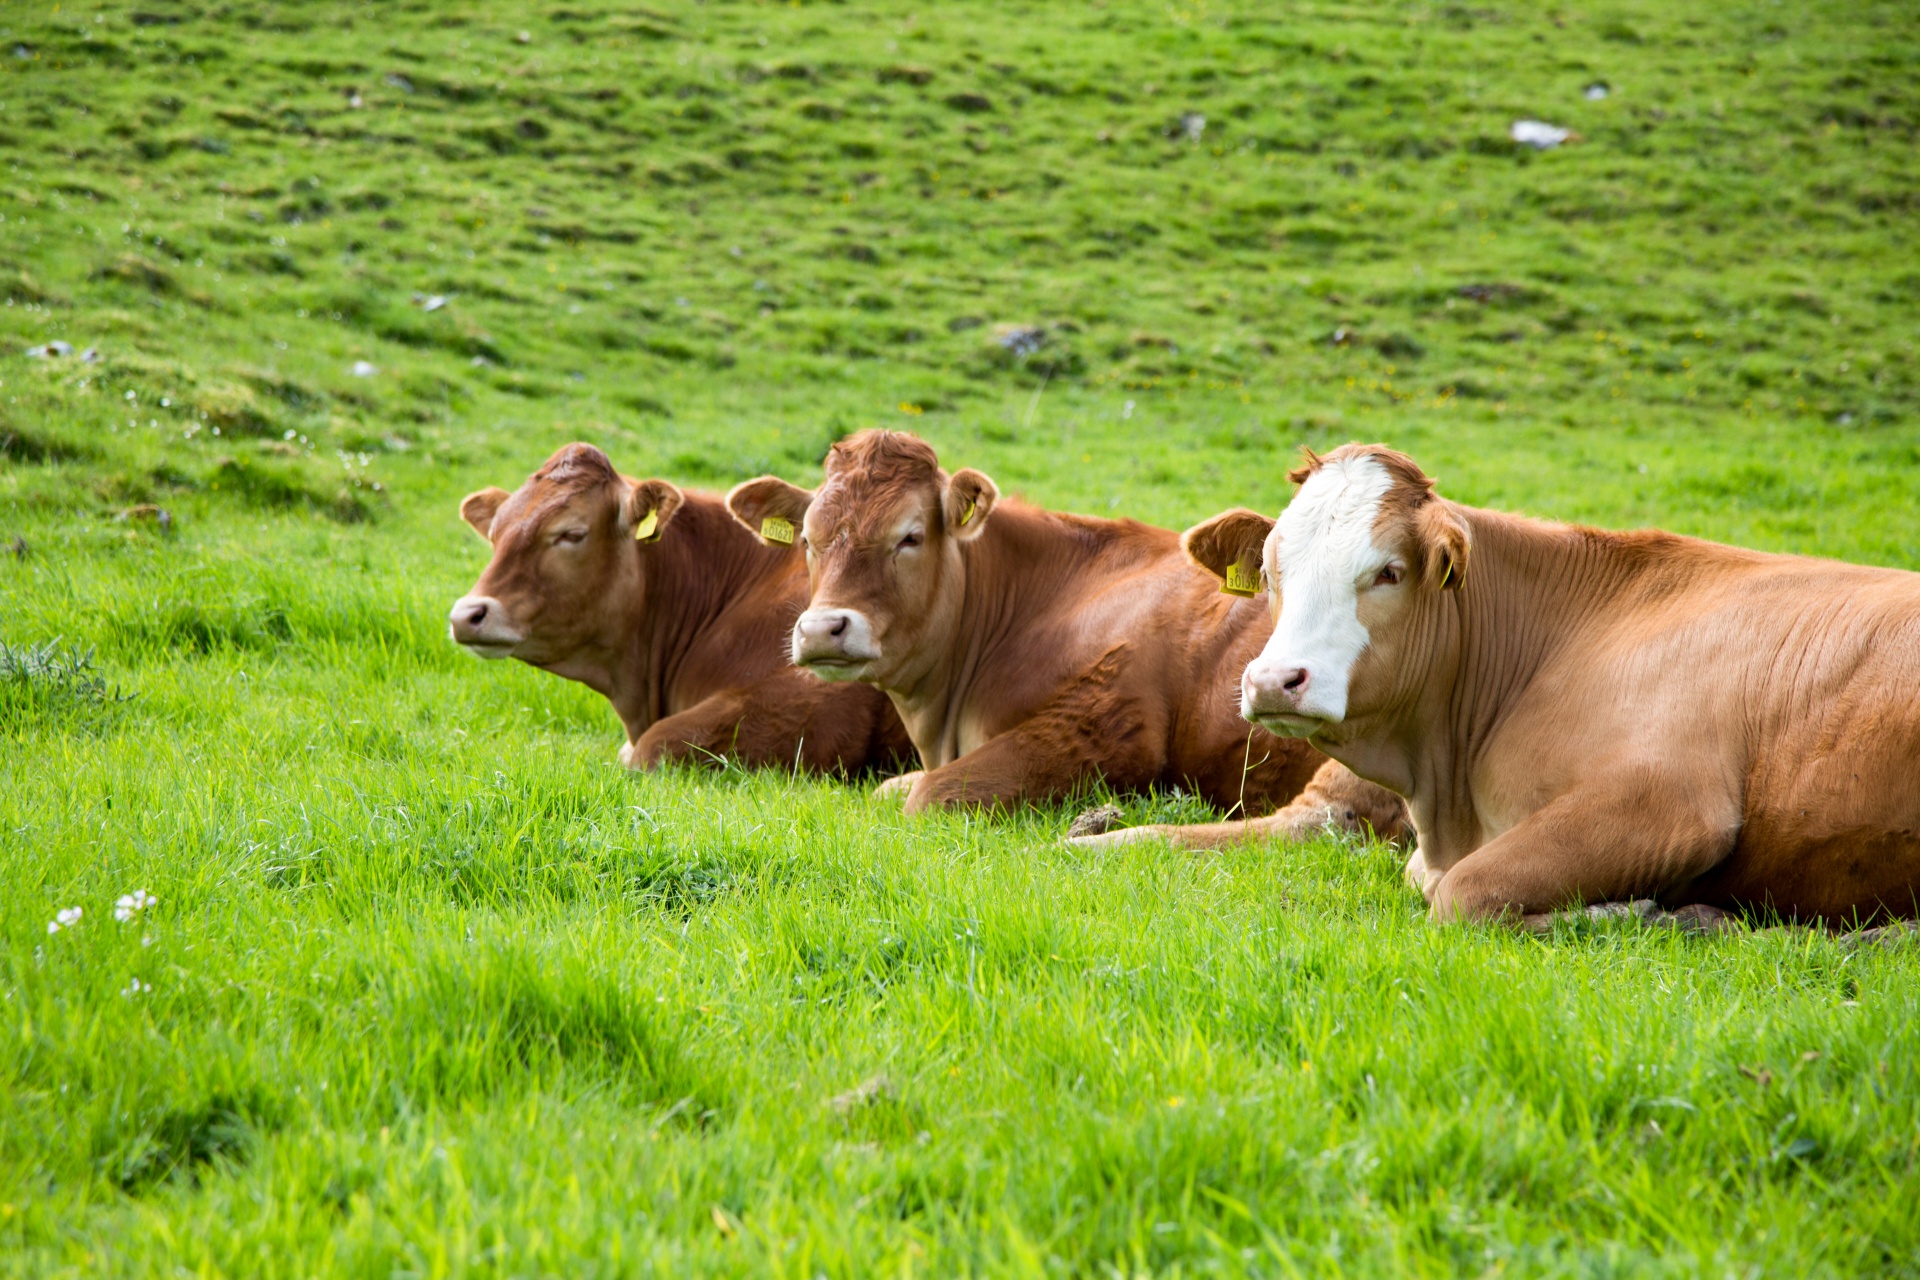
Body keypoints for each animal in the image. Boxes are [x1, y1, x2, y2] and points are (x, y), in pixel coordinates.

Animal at [721, 429, 1413, 832]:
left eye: (909, 536)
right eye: (808, 540)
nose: (822, 629)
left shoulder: (1105, 725)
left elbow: (928, 797)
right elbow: (890, 790)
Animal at [1182, 445, 1920, 924]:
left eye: (1388, 572)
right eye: (1271, 569)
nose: (1274, 681)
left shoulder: (1673, 803)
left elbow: (1462, 894)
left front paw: (1632, 910)